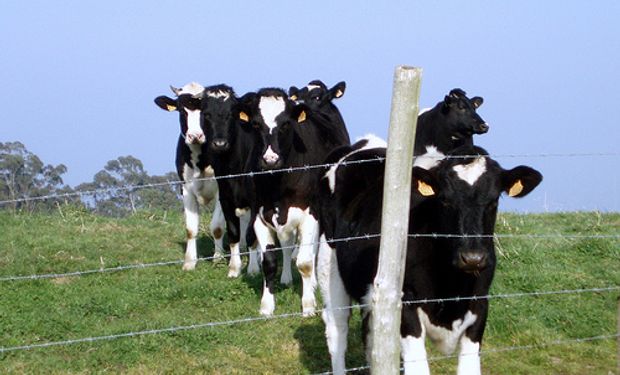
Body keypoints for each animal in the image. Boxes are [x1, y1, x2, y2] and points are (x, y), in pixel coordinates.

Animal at [154, 83, 226, 270]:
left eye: (206, 112)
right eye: (181, 110)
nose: (195, 136)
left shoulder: (222, 189)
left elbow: (217, 226)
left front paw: (218, 258)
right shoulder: (185, 188)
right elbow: (191, 229)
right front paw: (189, 262)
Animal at [200, 86, 260, 280]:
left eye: (231, 114)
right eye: (207, 114)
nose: (220, 143)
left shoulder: (255, 201)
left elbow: (251, 234)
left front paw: (253, 269)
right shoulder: (226, 198)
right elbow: (234, 233)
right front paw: (234, 268)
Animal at [237, 86, 352, 316]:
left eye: (285, 124)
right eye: (256, 124)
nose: (270, 159)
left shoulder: (311, 213)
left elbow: (305, 262)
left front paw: (308, 305)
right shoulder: (260, 215)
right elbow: (269, 262)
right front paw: (266, 306)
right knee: (287, 245)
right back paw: (287, 279)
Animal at [318, 142, 540, 375]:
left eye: (494, 201)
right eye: (445, 200)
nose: (472, 258)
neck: (452, 287)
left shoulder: (480, 304)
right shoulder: (406, 304)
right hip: (329, 265)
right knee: (337, 328)